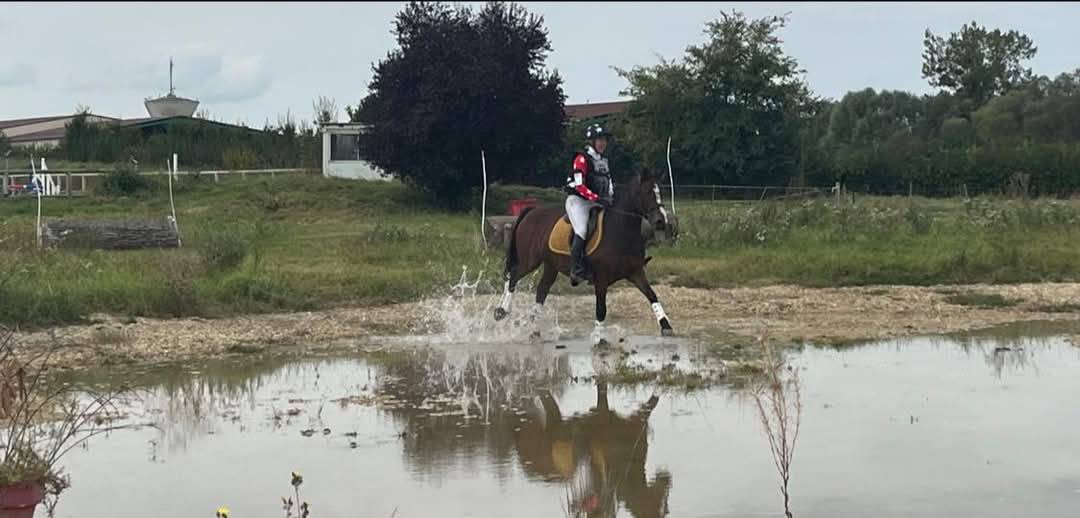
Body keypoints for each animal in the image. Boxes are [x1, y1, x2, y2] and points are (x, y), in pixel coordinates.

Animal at [493, 167, 674, 337]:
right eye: (647, 192)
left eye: (661, 191)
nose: (661, 221)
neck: (620, 230)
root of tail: (531, 211)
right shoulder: (601, 278)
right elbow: (601, 309)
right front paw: (598, 337)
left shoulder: (635, 272)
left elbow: (652, 295)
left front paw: (666, 326)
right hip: (530, 260)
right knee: (513, 277)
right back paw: (502, 311)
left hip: (551, 264)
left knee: (541, 290)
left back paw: (534, 327)